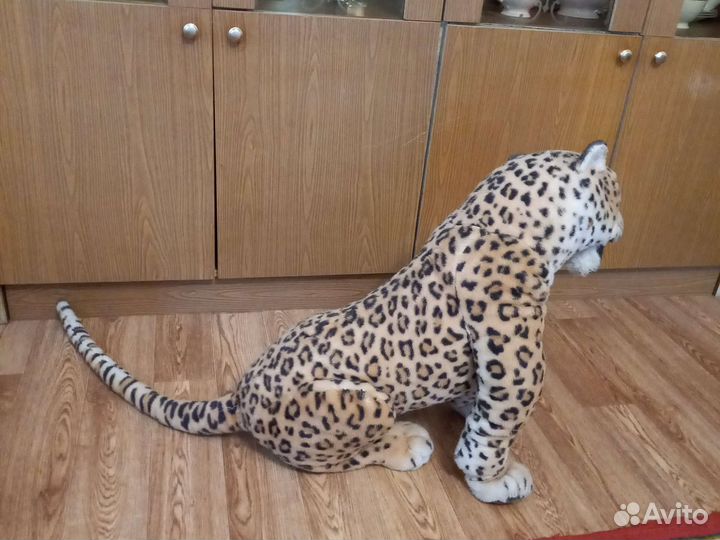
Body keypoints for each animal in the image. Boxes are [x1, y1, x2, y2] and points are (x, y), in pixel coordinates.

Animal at [57, 140, 623, 504]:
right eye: (616, 193)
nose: (615, 241)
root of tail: (240, 395)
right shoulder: (517, 361)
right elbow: (496, 429)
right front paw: (494, 481)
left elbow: (480, 401)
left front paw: (467, 409)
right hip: (367, 403)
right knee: (336, 460)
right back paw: (406, 442)